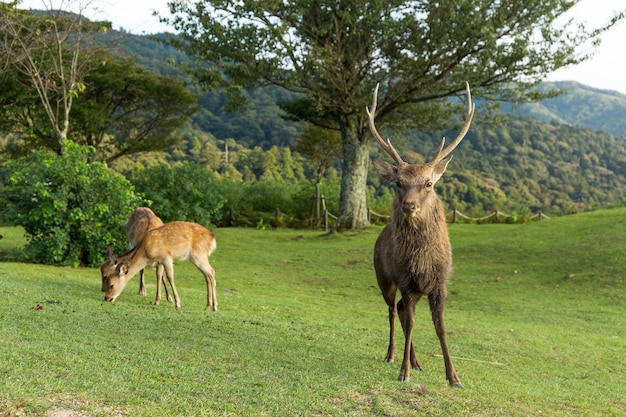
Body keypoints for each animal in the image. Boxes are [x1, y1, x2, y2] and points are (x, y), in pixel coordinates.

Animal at [366, 79, 472, 386]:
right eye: (398, 183)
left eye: (428, 183)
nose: (408, 206)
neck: (423, 261)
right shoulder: (406, 280)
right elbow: (412, 322)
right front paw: (404, 372)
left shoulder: (440, 284)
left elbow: (441, 328)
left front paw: (454, 376)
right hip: (383, 278)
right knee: (393, 311)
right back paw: (391, 355)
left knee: (401, 310)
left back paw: (416, 361)